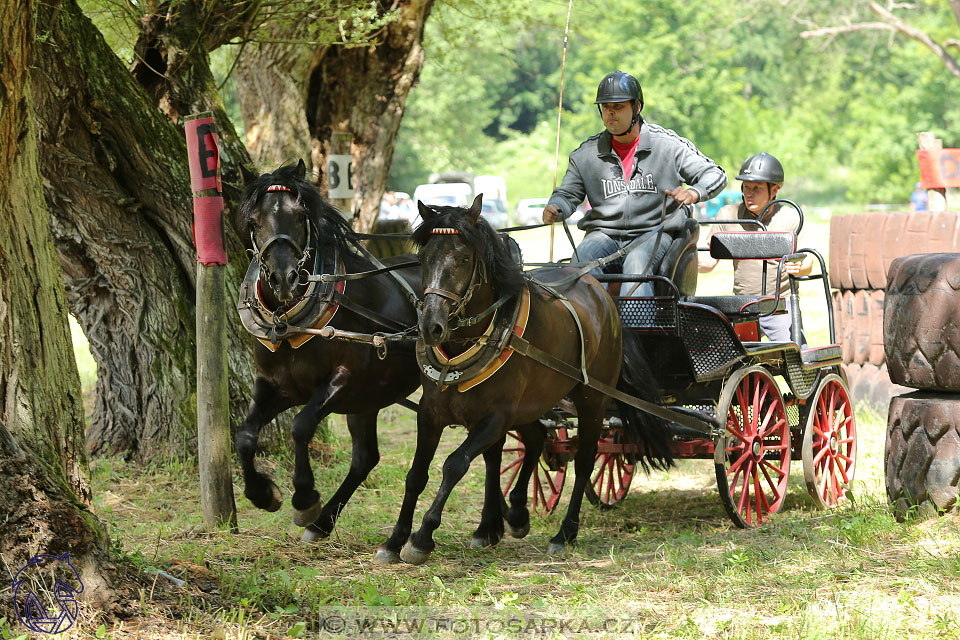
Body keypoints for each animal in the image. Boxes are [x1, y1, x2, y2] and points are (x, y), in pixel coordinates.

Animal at [232, 161, 420, 540]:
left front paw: (304, 498)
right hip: (367, 401)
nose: (284, 278)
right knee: (365, 459)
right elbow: (244, 436)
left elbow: (300, 427)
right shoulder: (276, 385)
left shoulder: (344, 380)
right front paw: (263, 494)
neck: (291, 322)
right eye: (254, 221)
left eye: (300, 215)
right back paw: (323, 523)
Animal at [376, 196, 676, 564]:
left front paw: (422, 537)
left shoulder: (495, 417)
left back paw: (565, 532)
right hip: (535, 401)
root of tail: (602, 294)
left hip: (591, 399)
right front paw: (394, 540)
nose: (431, 326)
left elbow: (455, 464)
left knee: (584, 459)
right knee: (535, 439)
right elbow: (417, 474)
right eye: (423, 259)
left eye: (464, 258)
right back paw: (516, 514)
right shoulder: (430, 413)